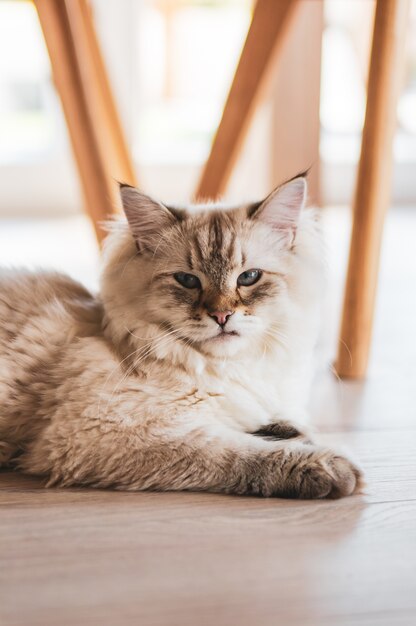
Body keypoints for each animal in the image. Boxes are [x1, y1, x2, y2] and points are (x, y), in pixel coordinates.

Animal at [0, 176, 362, 498]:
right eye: (187, 280)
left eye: (249, 277)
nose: (221, 316)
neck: (224, 369)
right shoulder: (106, 431)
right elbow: (236, 450)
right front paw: (329, 467)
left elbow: (276, 424)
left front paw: (295, 434)